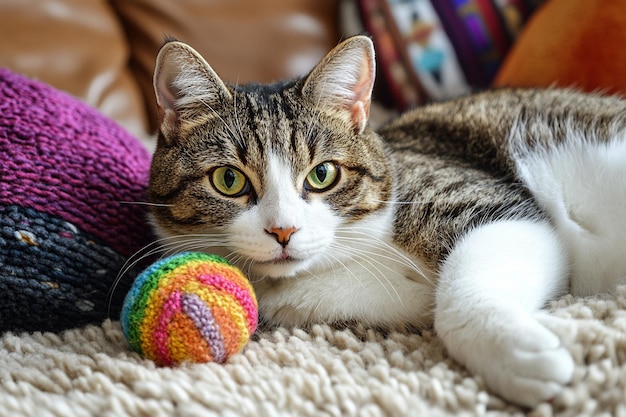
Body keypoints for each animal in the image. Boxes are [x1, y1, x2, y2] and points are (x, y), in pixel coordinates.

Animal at [147, 36, 626, 406]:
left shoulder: (481, 199)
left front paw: (518, 353)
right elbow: (422, 303)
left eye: (323, 174)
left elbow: (465, 289)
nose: (283, 230)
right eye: (228, 180)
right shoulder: (371, 297)